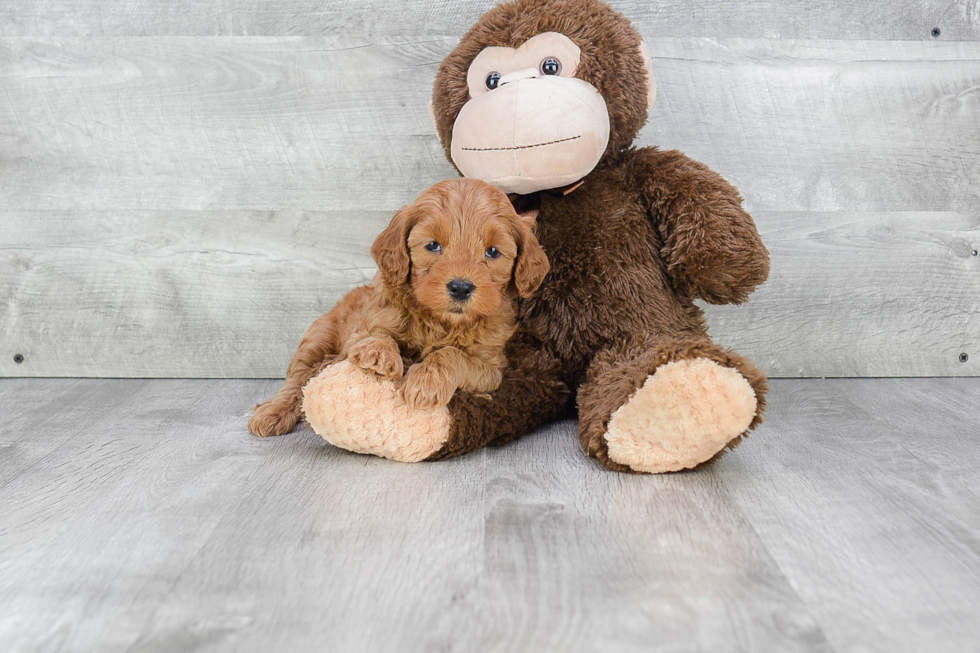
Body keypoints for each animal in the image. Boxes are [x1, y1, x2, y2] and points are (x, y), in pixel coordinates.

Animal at [249, 176, 548, 436]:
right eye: (433, 245)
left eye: (493, 252)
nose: (461, 287)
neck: (439, 322)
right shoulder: (361, 329)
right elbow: (376, 334)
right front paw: (379, 353)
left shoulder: (490, 367)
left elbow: (453, 355)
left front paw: (425, 381)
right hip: (318, 335)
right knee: (297, 378)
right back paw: (271, 413)